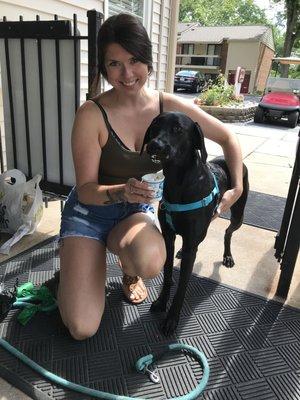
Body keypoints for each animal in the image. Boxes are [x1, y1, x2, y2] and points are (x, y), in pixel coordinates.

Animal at [141, 111, 248, 334]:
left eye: (178, 129)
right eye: (154, 127)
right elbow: (167, 273)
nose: (154, 145)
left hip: (238, 215)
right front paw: (161, 302)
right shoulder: (168, 237)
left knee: (228, 232)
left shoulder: (191, 243)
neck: (177, 182)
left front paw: (172, 318)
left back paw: (227, 256)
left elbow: (182, 286)